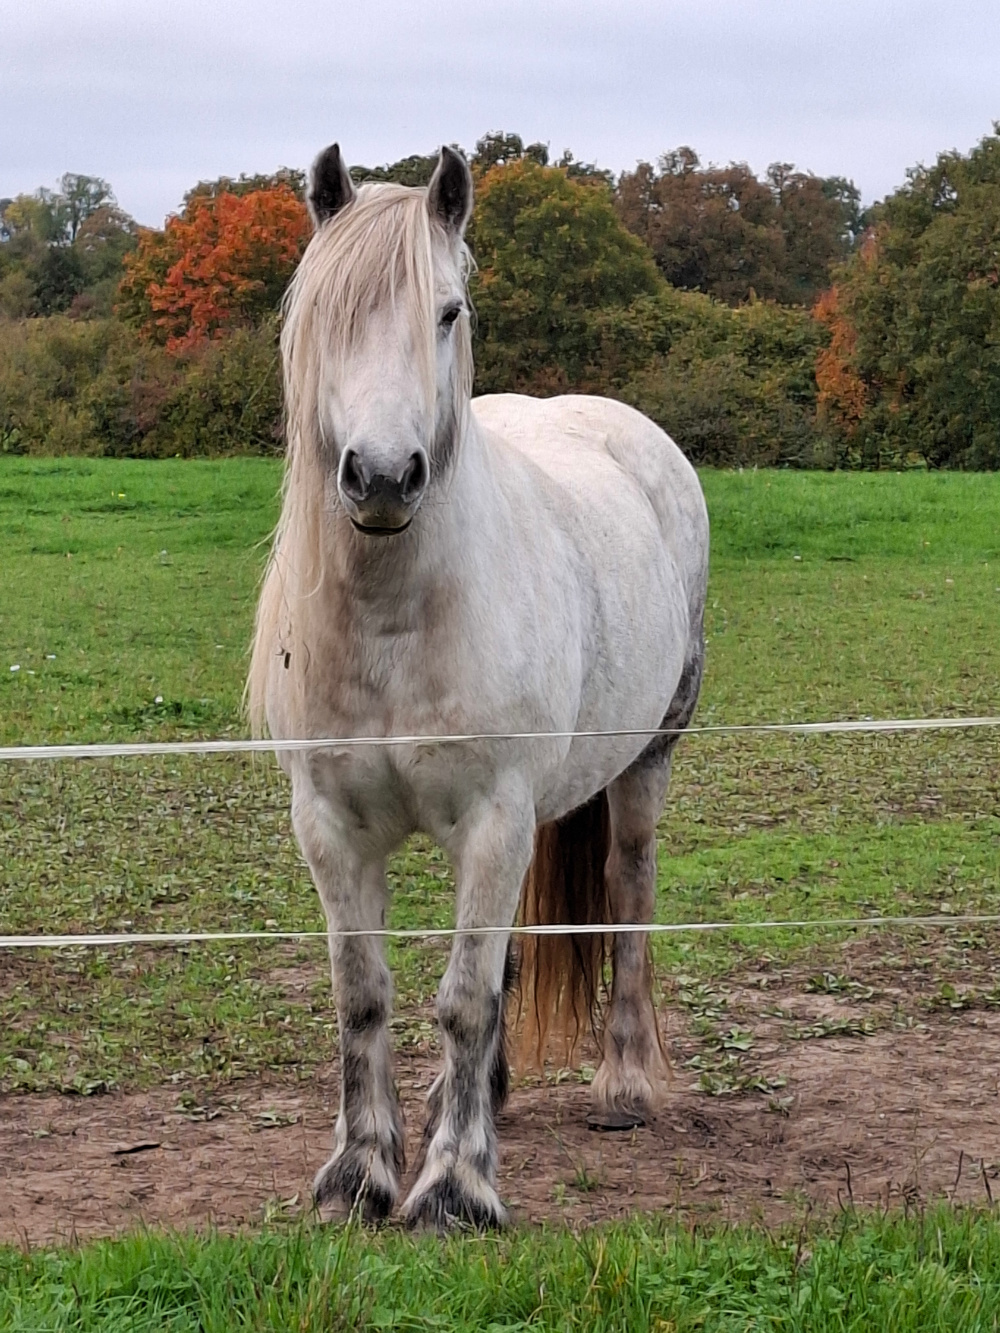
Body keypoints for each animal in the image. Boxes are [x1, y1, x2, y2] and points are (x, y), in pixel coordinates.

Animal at [247, 142, 709, 1230]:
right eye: (328, 313)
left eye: (448, 311)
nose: (381, 476)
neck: (395, 618)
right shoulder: (329, 825)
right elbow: (363, 992)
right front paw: (361, 1171)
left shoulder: (495, 818)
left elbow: (464, 1000)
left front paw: (454, 1184)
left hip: (645, 763)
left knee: (628, 888)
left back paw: (625, 1083)